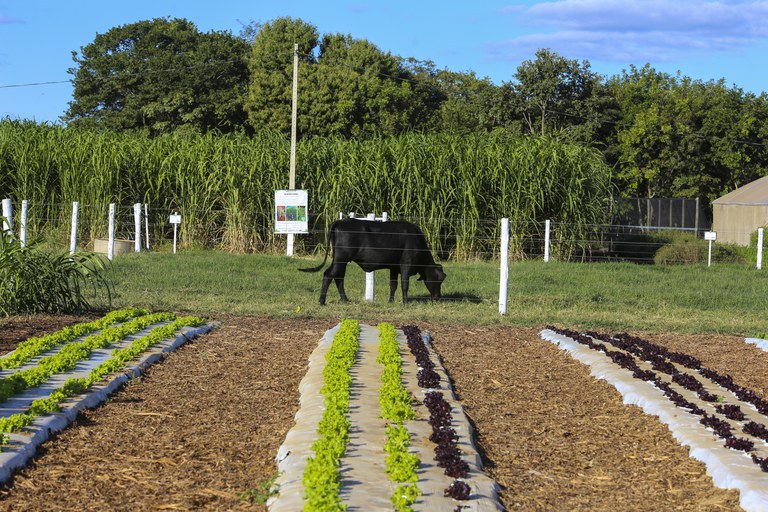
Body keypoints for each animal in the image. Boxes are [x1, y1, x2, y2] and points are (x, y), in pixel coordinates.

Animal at [298, 219, 448, 304]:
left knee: (338, 278)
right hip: (341, 259)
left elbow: (393, 285)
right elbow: (404, 284)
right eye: (439, 278)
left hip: (341, 261)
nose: (438, 297)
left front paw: (391, 301)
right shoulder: (406, 263)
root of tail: (341, 221)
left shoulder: (394, 267)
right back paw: (322, 301)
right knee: (329, 275)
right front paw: (405, 302)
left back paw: (345, 300)